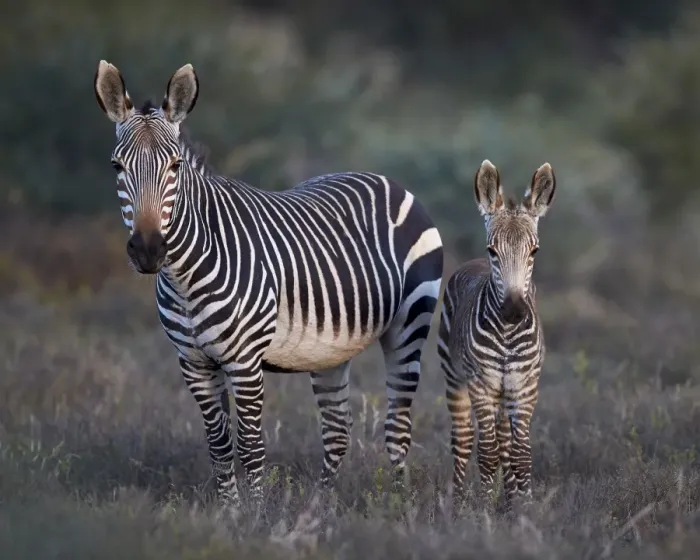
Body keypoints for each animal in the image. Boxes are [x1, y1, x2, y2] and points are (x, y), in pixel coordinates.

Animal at [93, 61, 444, 509]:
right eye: (116, 167)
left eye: (174, 167)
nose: (148, 250)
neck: (185, 276)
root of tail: (388, 181)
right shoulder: (193, 362)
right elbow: (219, 443)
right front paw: (230, 510)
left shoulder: (245, 362)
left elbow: (250, 445)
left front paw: (256, 515)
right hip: (331, 350)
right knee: (337, 431)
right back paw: (319, 508)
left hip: (409, 326)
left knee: (398, 427)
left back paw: (399, 505)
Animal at [437, 159, 555, 507]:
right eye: (492, 250)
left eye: (534, 252)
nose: (514, 311)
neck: (507, 335)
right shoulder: (482, 384)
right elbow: (487, 453)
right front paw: (484, 508)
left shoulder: (526, 385)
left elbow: (520, 454)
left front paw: (522, 506)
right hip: (455, 377)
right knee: (463, 439)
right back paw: (459, 501)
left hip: (506, 390)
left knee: (504, 441)